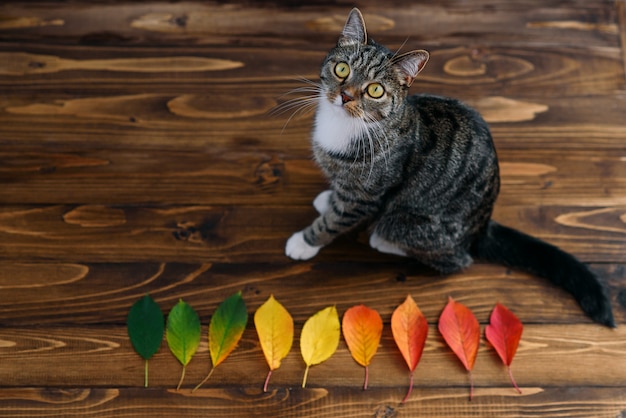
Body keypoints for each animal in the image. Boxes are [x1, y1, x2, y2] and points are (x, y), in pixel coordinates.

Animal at [284, 7, 616, 326]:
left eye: (375, 90)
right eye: (342, 69)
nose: (344, 96)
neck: (348, 127)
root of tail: (482, 227)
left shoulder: (365, 195)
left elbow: (335, 219)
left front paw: (305, 241)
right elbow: (336, 194)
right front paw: (327, 198)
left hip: (411, 222)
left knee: (453, 259)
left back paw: (382, 239)